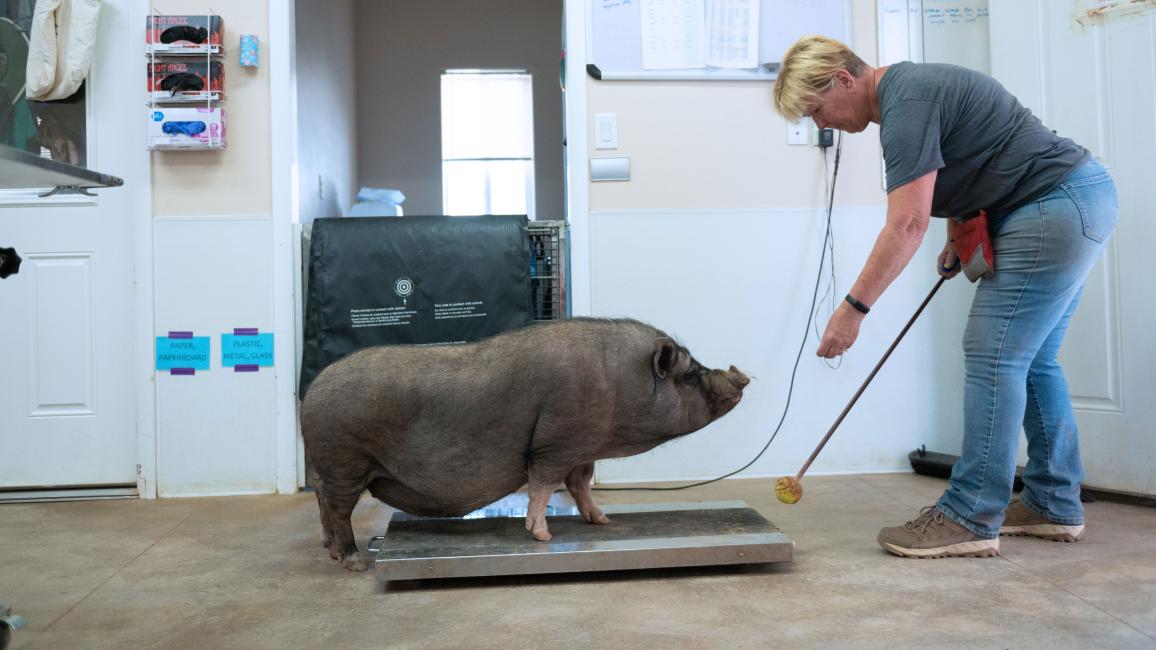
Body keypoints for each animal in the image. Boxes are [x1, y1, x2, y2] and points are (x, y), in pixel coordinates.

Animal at [301, 318, 749, 571]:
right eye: (688, 375)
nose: (740, 375)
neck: (620, 383)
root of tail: (310, 394)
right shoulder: (557, 443)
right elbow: (543, 486)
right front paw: (543, 537)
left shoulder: (582, 448)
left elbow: (580, 485)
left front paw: (602, 522)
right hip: (346, 461)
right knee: (338, 509)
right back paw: (355, 563)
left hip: (335, 468)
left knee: (322, 499)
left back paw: (332, 552)